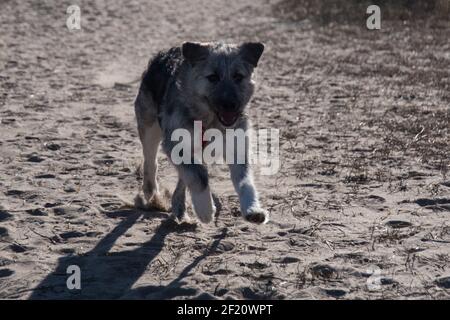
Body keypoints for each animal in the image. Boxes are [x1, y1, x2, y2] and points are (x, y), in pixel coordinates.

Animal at [134, 41, 268, 224]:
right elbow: (199, 176)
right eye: (213, 77)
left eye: (238, 76)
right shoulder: (176, 144)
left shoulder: (237, 146)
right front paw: (205, 210)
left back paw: (179, 206)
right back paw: (152, 195)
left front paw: (253, 209)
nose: (230, 104)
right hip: (149, 128)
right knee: (151, 162)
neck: (210, 121)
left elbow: (245, 180)